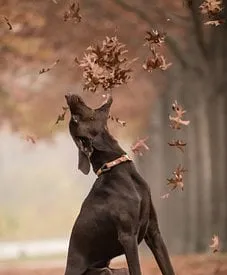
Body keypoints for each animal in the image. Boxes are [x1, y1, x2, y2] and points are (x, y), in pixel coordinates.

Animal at [64, 93, 176, 275]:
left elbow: (168, 267)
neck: (116, 166)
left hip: (118, 269)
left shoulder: (154, 232)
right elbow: (136, 269)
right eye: (75, 118)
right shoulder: (127, 236)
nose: (68, 96)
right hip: (104, 270)